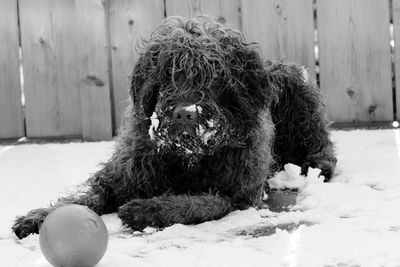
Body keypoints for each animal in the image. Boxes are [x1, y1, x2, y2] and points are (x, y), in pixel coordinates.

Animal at [12, 15, 336, 240]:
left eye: (214, 75)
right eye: (168, 72)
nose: (185, 114)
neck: (187, 158)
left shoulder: (238, 193)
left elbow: (201, 202)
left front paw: (145, 209)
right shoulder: (121, 174)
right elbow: (84, 196)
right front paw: (41, 215)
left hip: (299, 86)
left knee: (322, 144)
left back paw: (318, 164)